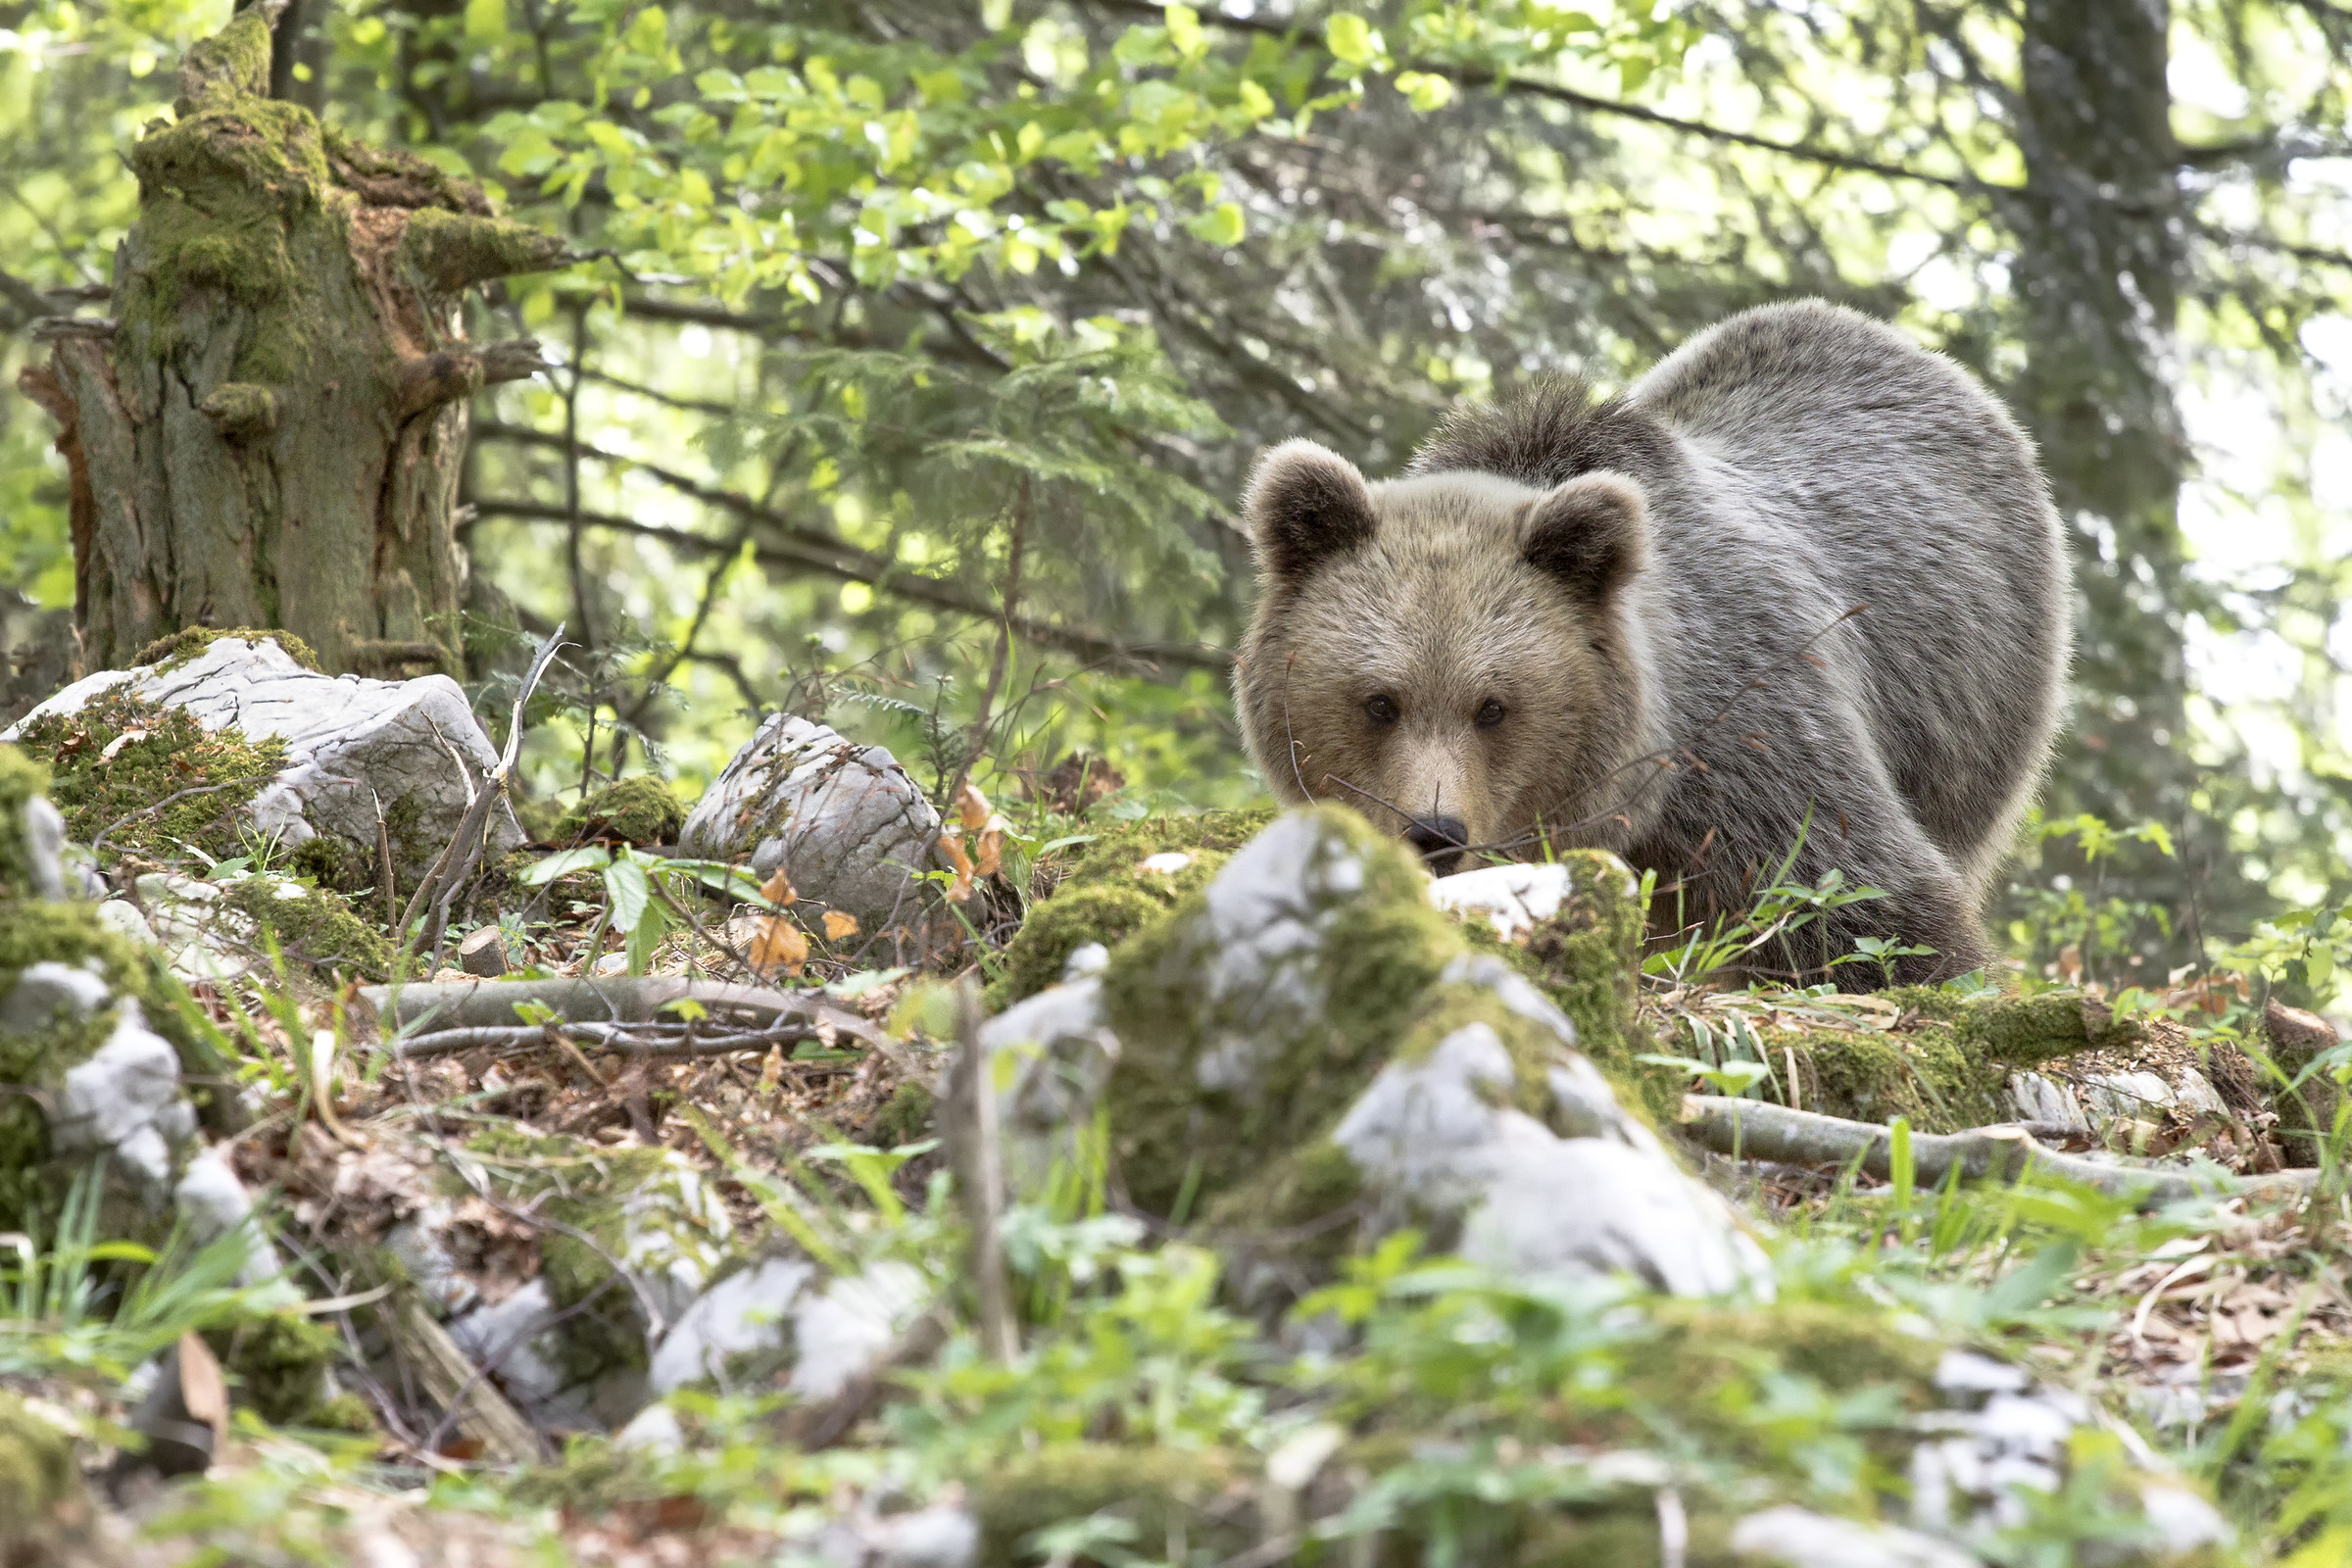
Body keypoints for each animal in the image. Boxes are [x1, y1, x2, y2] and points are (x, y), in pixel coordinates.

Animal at [1231, 300, 2070, 985]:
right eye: (1380, 701)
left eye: (1494, 706)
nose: (1435, 832)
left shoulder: (1750, 736)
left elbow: (1862, 901)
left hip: (1974, 699)